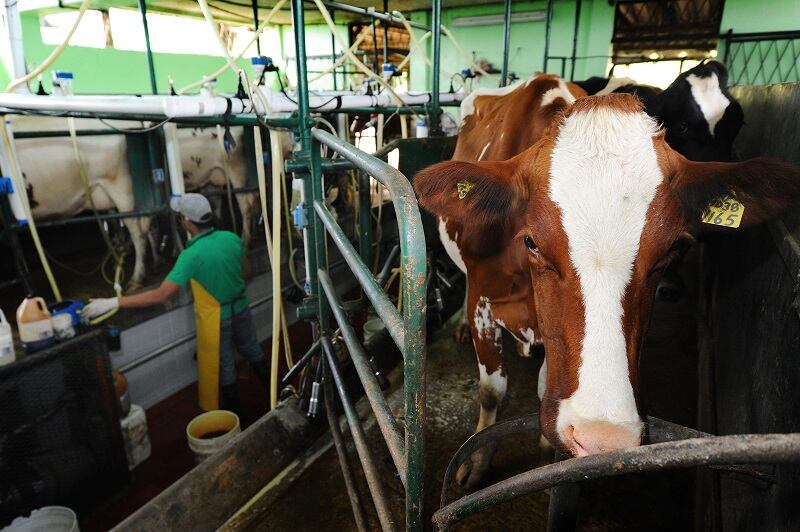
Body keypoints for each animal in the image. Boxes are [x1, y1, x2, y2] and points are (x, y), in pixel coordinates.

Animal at [414, 80, 800, 490]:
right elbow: (491, 391)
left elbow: (543, 384)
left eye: (674, 247)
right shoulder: (482, 300)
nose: (602, 439)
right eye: (531, 241)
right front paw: (478, 460)